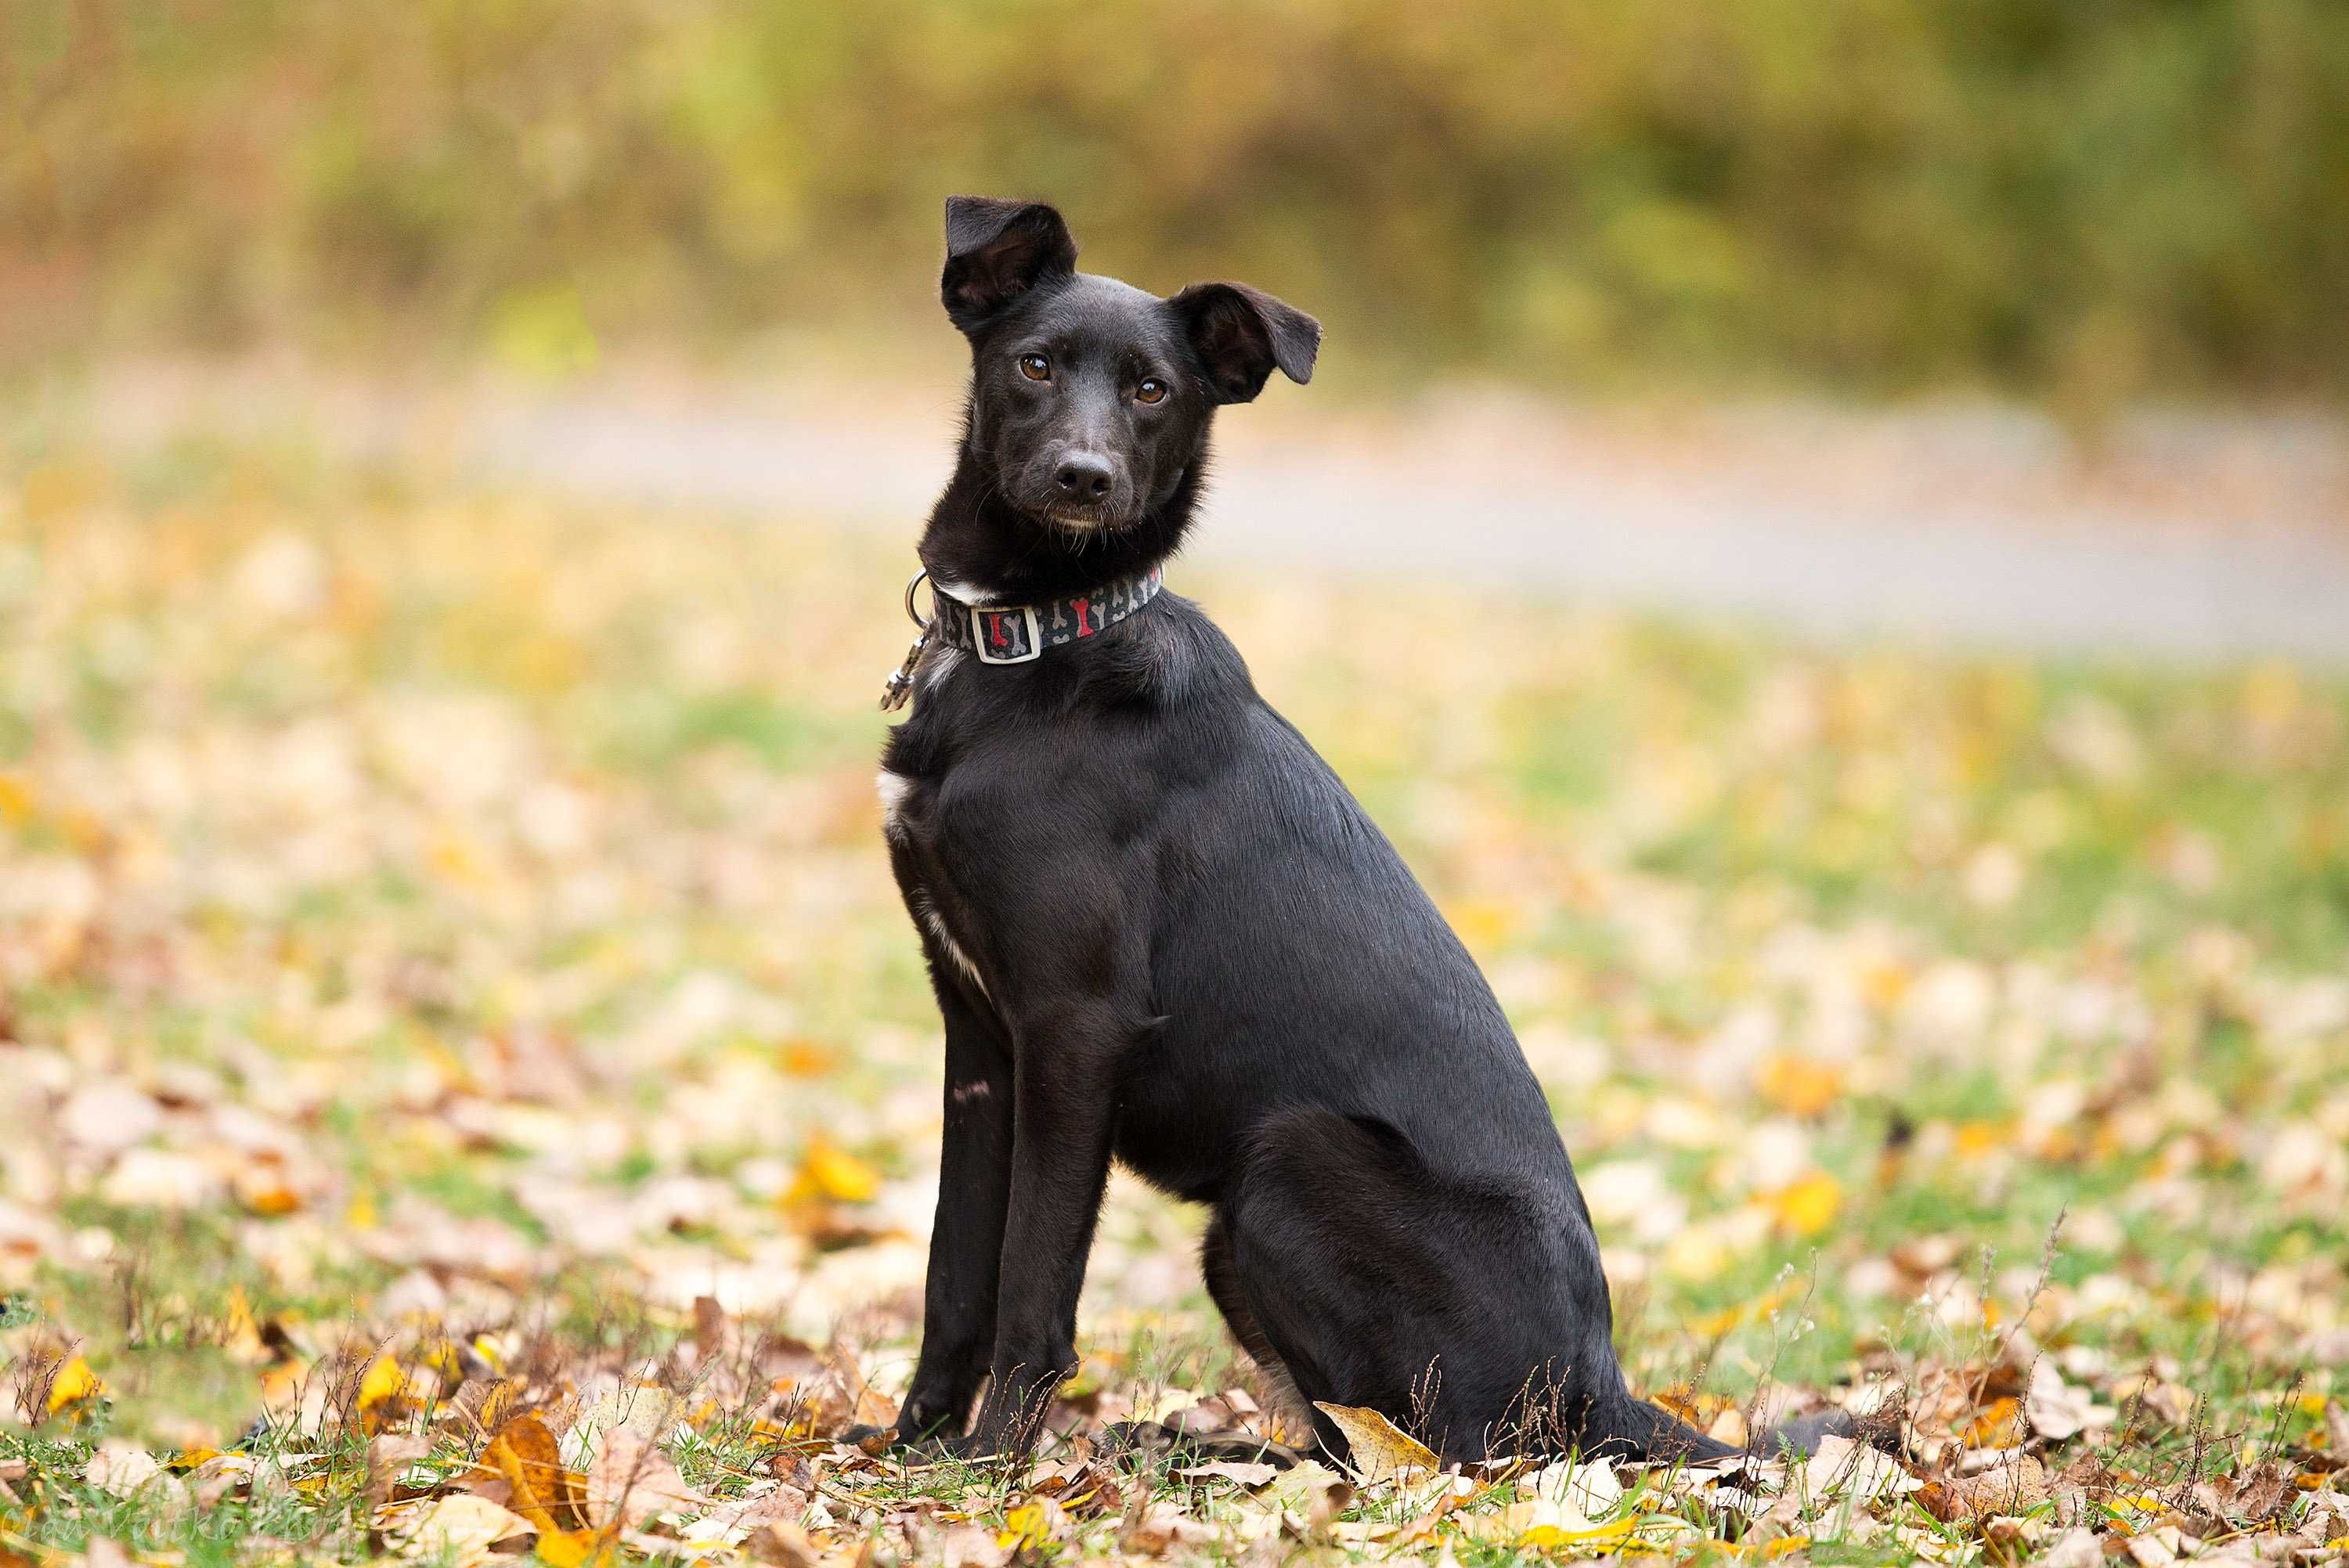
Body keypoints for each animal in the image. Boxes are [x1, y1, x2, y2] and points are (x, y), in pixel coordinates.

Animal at [874, 199, 1738, 1474]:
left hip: (1284, 1160)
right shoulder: (980, 1035)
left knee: (1422, 1454)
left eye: (1153, 391)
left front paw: (986, 1469)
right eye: (1032, 365)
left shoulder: (1075, 1027)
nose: (1084, 477)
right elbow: (955, 1267)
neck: (1045, 640)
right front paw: (911, 1446)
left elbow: (1033, 1276)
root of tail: (1599, 1384)